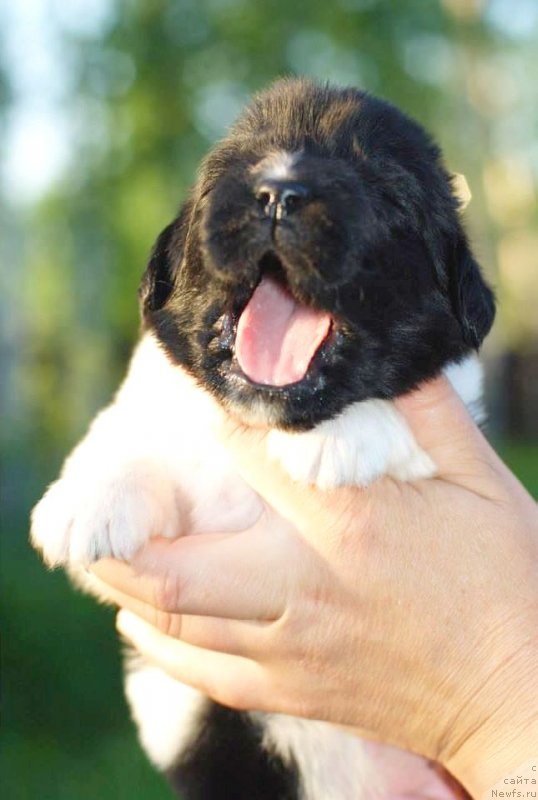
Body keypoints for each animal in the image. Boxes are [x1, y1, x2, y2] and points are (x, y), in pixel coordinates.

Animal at [31, 76, 492, 800]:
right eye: (234, 171)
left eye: (385, 189)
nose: (279, 194)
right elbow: (128, 433)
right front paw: (89, 501)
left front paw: (340, 434)